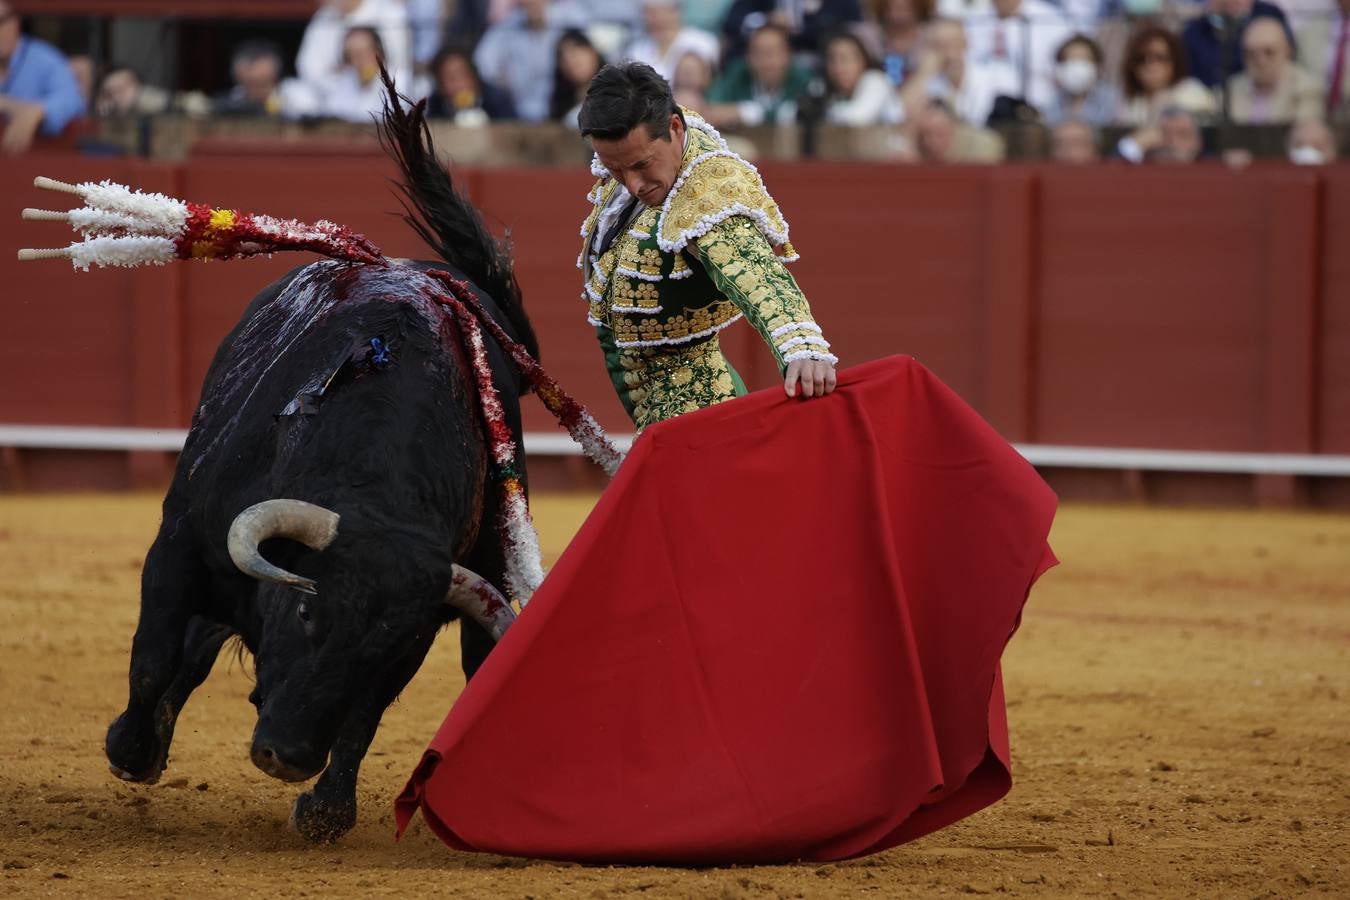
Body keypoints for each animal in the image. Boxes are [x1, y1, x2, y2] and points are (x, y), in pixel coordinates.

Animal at [102, 101, 540, 847]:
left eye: (385, 648)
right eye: (307, 609)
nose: (286, 756)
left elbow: (363, 718)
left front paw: (327, 810)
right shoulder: (180, 539)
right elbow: (156, 652)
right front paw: (131, 750)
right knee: (190, 647)